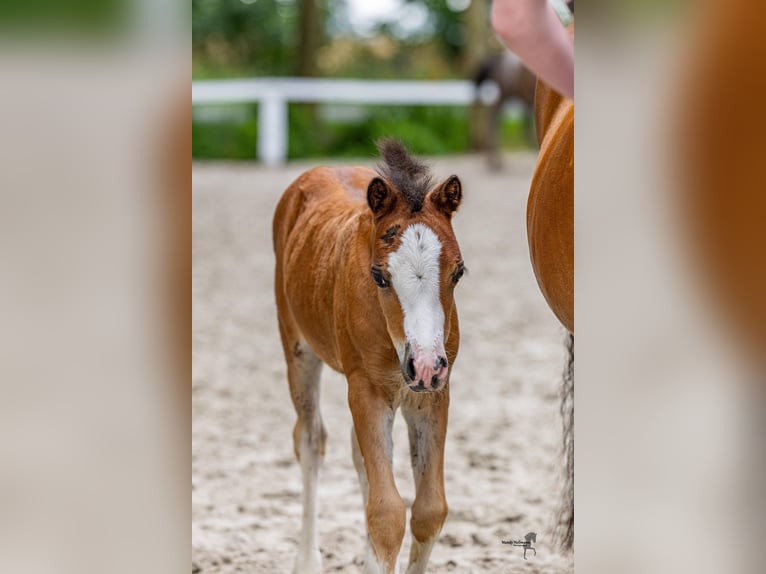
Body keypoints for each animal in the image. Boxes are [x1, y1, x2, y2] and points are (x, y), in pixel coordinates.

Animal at [273, 139, 465, 574]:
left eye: (459, 272)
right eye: (379, 276)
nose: (424, 365)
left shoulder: (432, 394)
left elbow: (430, 510)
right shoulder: (368, 389)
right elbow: (386, 512)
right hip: (298, 350)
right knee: (310, 440)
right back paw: (307, 561)